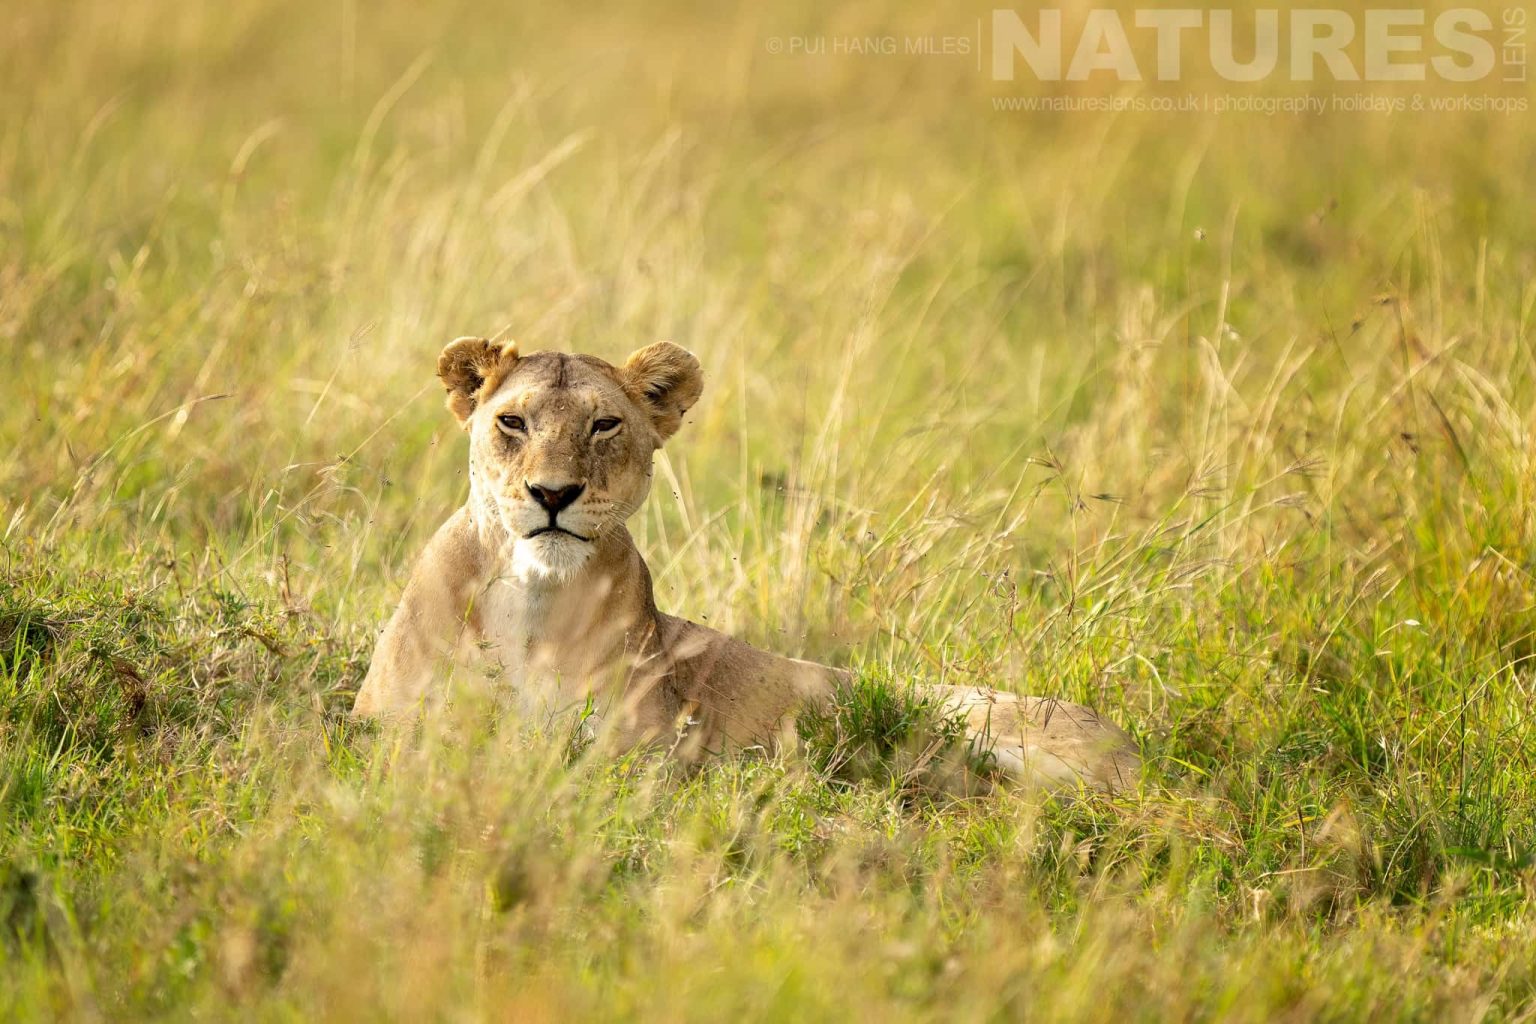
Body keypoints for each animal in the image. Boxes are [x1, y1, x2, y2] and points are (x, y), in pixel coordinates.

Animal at [352, 337, 1139, 793]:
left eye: (604, 425)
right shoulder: (386, 725)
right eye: (511, 422)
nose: (552, 494)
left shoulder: (646, 751)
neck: (534, 595)